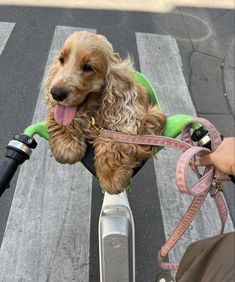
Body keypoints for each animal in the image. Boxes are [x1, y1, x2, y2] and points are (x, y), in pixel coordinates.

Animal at [44, 30, 165, 194]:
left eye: (88, 67)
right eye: (61, 60)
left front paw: (111, 176)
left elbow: (114, 139)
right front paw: (67, 146)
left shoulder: (144, 120)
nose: (56, 93)